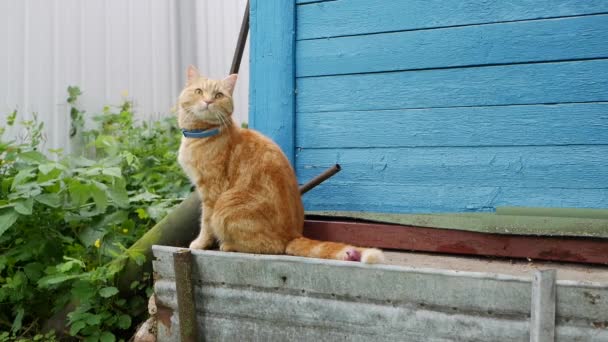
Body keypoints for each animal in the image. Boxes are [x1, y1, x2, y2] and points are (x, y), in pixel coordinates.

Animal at [177, 67, 384, 264]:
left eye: (218, 95)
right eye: (199, 91)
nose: (208, 101)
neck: (202, 133)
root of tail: (293, 235)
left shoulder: (211, 191)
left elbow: (206, 222)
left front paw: (200, 244)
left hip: (226, 203)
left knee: (271, 247)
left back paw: (229, 245)